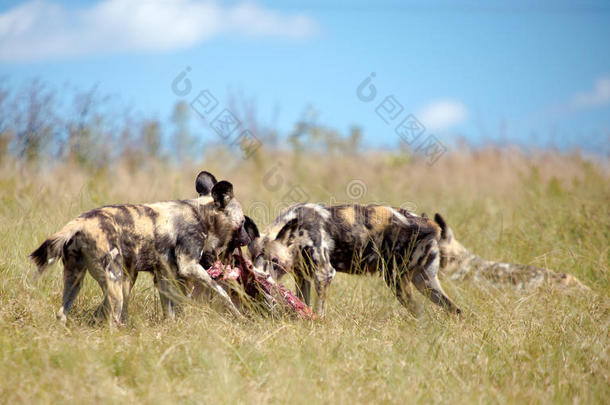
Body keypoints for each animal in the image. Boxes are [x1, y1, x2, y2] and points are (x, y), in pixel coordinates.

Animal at [29, 178, 249, 324]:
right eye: (242, 223)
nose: (248, 240)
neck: (202, 214)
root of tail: (80, 222)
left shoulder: (163, 276)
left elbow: (169, 309)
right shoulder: (188, 265)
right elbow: (222, 292)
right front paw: (240, 317)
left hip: (76, 278)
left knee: (62, 313)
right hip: (117, 282)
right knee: (112, 319)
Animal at [247, 202, 460, 316]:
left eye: (275, 262)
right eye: (252, 260)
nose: (259, 277)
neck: (298, 235)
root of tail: (428, 223)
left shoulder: (324, 274)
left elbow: (319, 311)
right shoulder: (303, 278)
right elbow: (303, 305)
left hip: (396, 280)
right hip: (425, 283)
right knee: (457, 311)